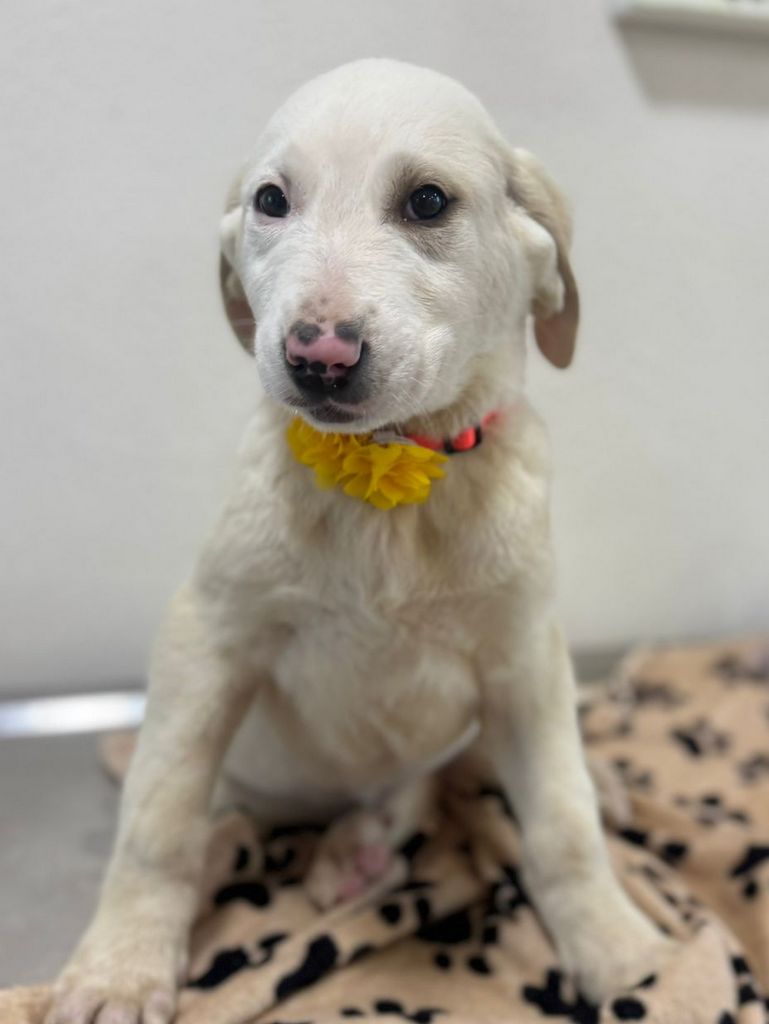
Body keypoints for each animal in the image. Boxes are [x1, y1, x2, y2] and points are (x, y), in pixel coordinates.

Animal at [45, 59, 671, 1024]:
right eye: (271, 201)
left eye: (426, 201)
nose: (319, 357)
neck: (386, 482)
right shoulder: (207, 637)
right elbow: (159, 819)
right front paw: (120, 968)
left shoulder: (524, 655)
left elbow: (561, 821)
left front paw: (616, 949)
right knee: (233, 814)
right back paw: (310, 849)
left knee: (443, 781)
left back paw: (380, 841)